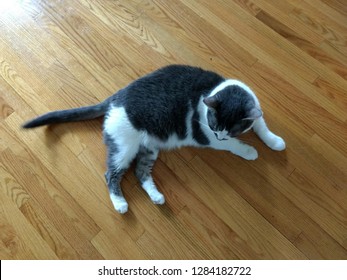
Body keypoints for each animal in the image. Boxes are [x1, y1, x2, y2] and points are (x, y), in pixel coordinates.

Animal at [23, 65, 286, 214]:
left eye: (229, 128)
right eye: (214, 126)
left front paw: (275, 142)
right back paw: (120, 204)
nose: (220, 136)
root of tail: (114, 99)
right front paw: (249, 151)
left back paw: (157, 196)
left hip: (149, 148)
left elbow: (261, 125)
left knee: (141, 173)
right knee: (111, 174)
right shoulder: (204, 135)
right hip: (124, 147)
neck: (214, 89)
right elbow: (234, 145)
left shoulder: (254, 111)